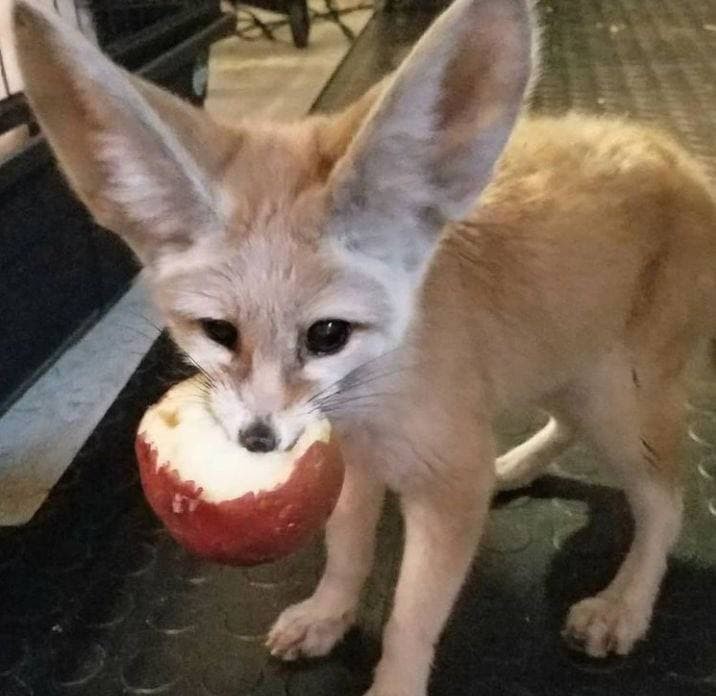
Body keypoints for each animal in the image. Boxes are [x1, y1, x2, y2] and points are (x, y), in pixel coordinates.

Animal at [12, 0, 716, 694]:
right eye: (219, 332)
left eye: (327, 335)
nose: (259, 440)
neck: (371, 410)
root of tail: (672, 149)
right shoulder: (348, 463)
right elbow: (347, 551)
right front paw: (328, 614)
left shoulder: (447, 485)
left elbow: (411, 616)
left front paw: (395, 681)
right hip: (568, 372)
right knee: (570, 430)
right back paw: (518, 465)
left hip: (618, 405)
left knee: (667, 503)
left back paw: (625, 603)